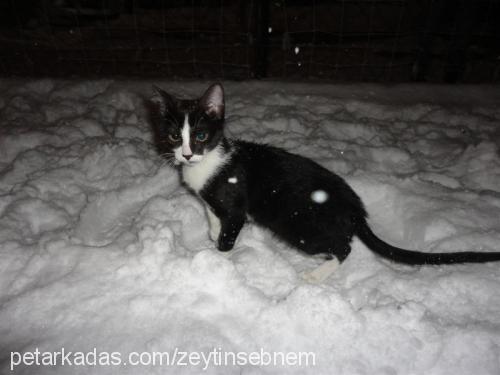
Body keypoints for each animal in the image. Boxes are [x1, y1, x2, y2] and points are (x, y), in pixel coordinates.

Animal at [150, 83, 500, 280]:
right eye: (174, 136)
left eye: (200, 135)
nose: (186, 155)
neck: (207, 164)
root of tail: (356, 208)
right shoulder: (210, 199)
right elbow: (212, 214)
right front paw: (211, 231)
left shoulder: (235, 208)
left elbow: (228, 234)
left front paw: (216, 260)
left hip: (299, 226)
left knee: (343, 248)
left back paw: (317, 274)